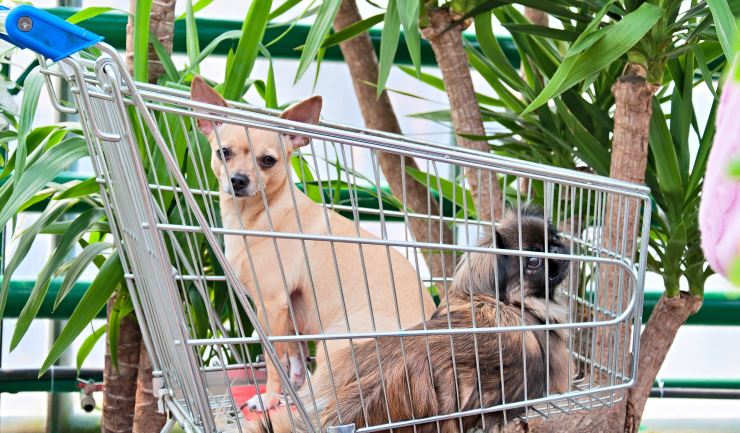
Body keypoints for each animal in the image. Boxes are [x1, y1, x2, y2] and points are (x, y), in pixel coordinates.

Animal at [191, 76, 436, 410]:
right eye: (223, 153)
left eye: (268, 161)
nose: (238, 180)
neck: (260, 214)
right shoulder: (288, 311)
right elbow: (293, 353)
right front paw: (291, 386)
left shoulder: (271, 305)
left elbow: (274, 359)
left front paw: (269, 398)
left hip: (336, 342)